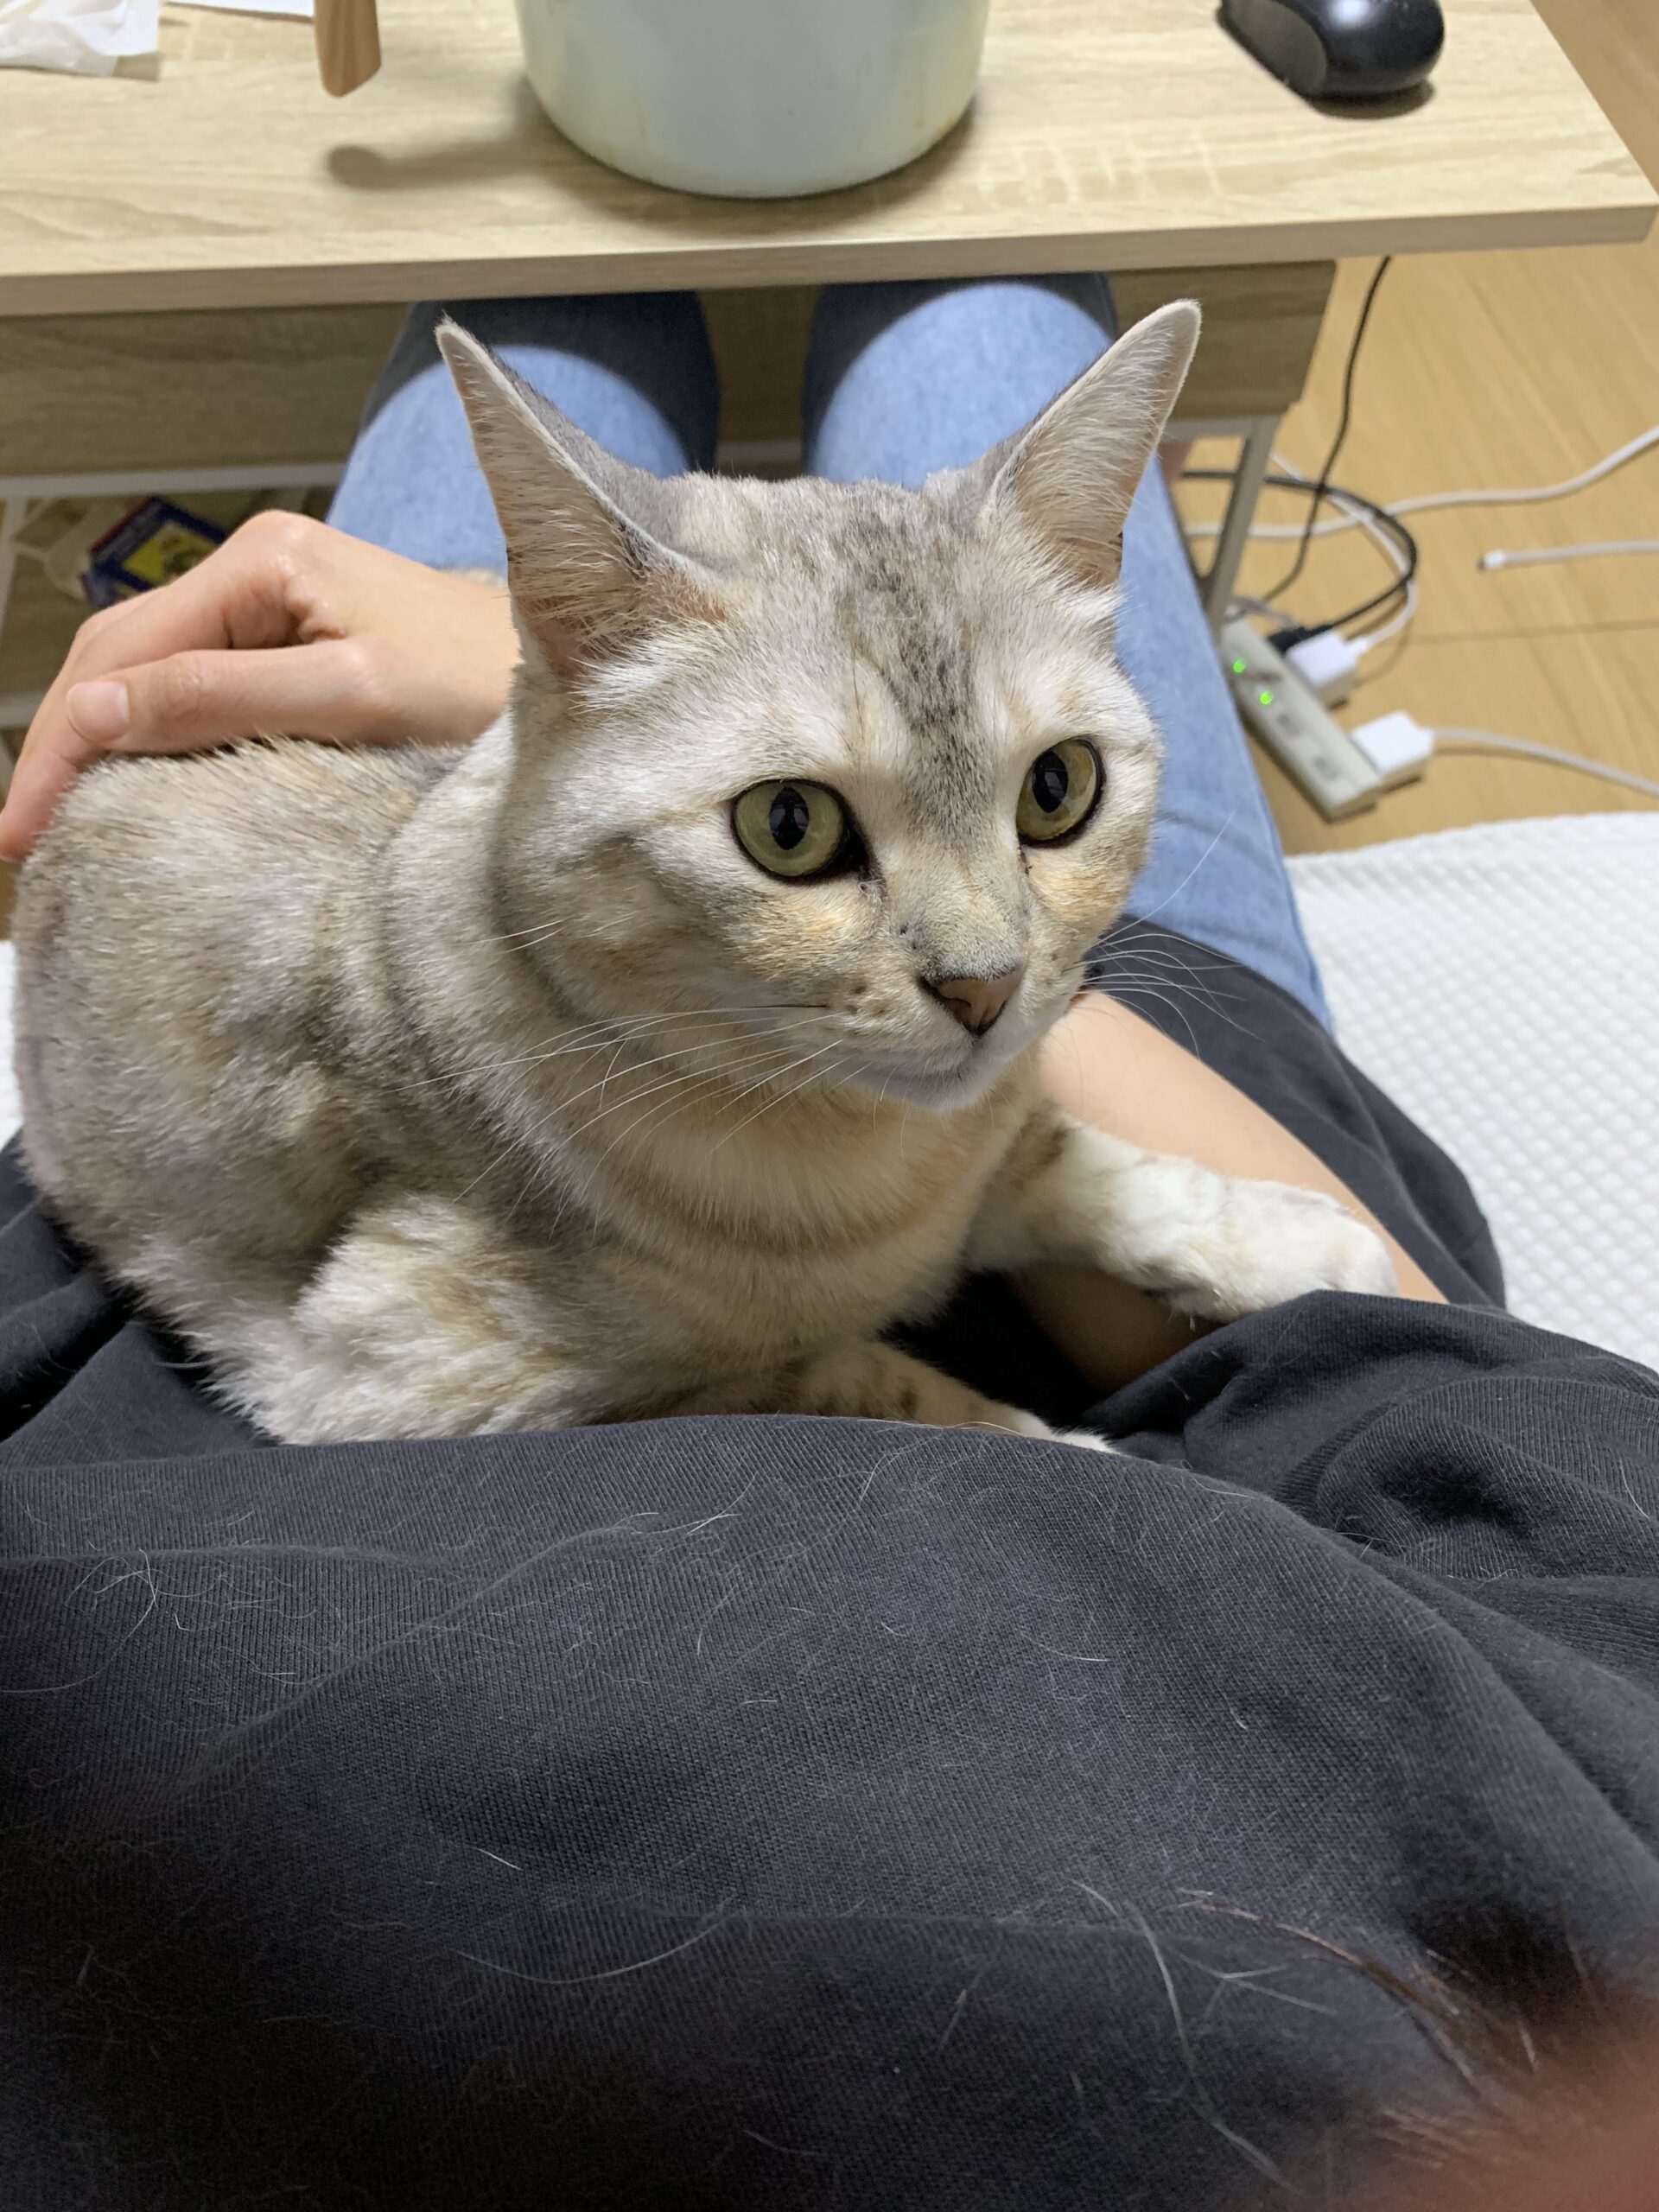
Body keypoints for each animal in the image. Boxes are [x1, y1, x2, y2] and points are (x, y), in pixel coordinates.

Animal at [12, 303, 1392, 1450]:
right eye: (790, 825)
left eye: (1058, 789)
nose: (987, 989)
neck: (867, 1163)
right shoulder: (403, 1380)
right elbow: (856, 1383)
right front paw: (1082, 1452)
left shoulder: (986, 1141)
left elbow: (1077, 1159)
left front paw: (1308, 1238)